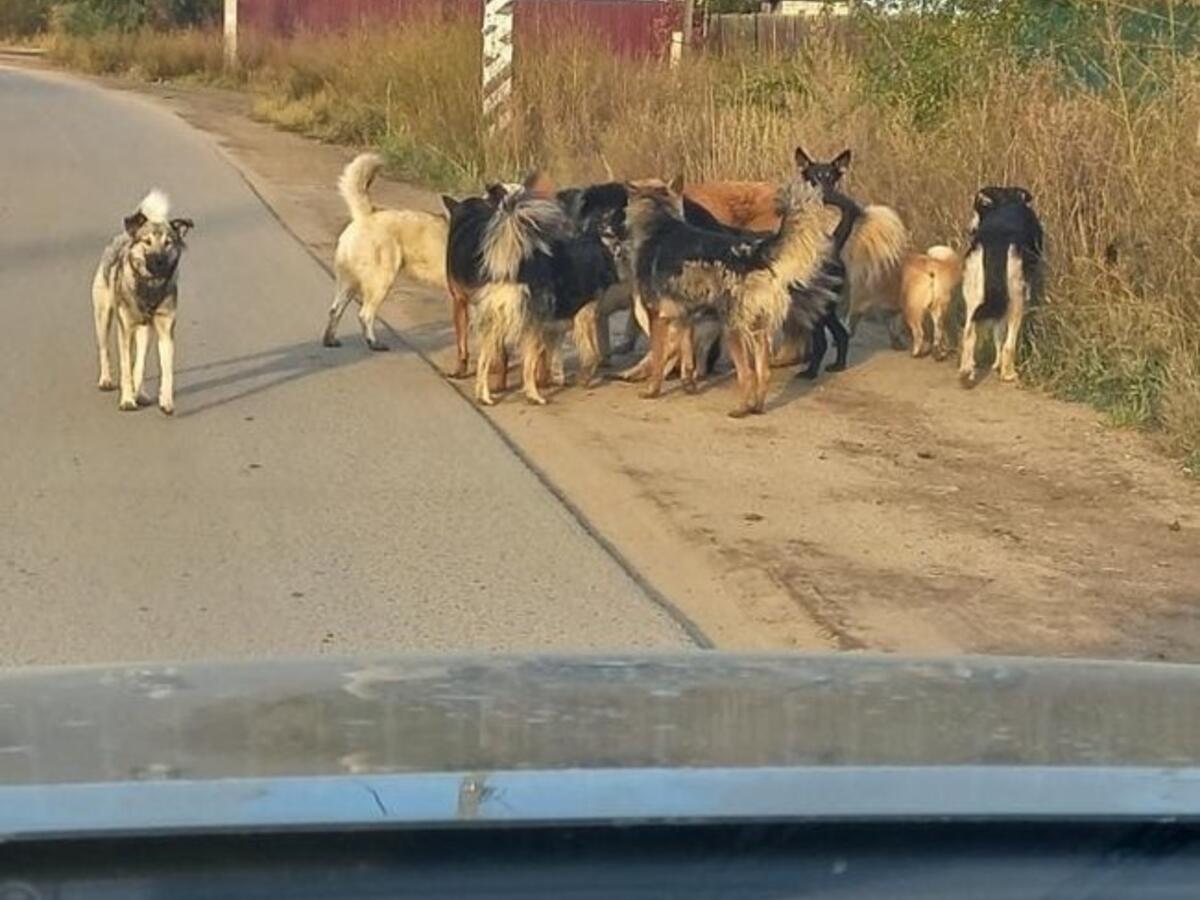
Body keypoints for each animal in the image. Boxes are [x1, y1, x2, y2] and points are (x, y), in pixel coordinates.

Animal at [92, 192, 193, 417]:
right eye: (147, 242)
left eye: (168, 243)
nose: (159, 262)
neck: (150, 286)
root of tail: (124, 235)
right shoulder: (125, 329)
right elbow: (125, 366)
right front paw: (127, 400)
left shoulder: (165, 330)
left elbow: (166, 369)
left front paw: (166, 401)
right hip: (103, 316)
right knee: (105, 350)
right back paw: (106, 380)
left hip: (145, 331)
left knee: (140, 362)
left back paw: (141, 393)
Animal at [321, 154, 448, 352]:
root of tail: (367, 214)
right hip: (381, 281)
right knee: (365, 314)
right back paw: (373, 343)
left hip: (349, 283)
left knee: (335, 310)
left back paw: (330, 340)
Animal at [624, 176, 830, 420]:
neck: (660, 222)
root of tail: (754, 255)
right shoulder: (685, 316)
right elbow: (687, 356)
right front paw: (688, 385)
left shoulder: (658, 318)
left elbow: (658, 358)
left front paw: (652, 390)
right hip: (758, 330)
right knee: (763, 372)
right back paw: (757, 407)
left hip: (733, 331)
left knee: (747, 374)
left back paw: (741, 410)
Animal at [955, 187, 1041, 388]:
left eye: (978, 209)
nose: (969, 229)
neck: (1006, 201)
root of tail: (995, 242)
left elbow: (997, 333)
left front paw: (996, 363)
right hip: (1016, 297)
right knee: (1010, 343)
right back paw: (1008, 373)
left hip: (974, 292)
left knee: (969, 333)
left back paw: (966, 372)